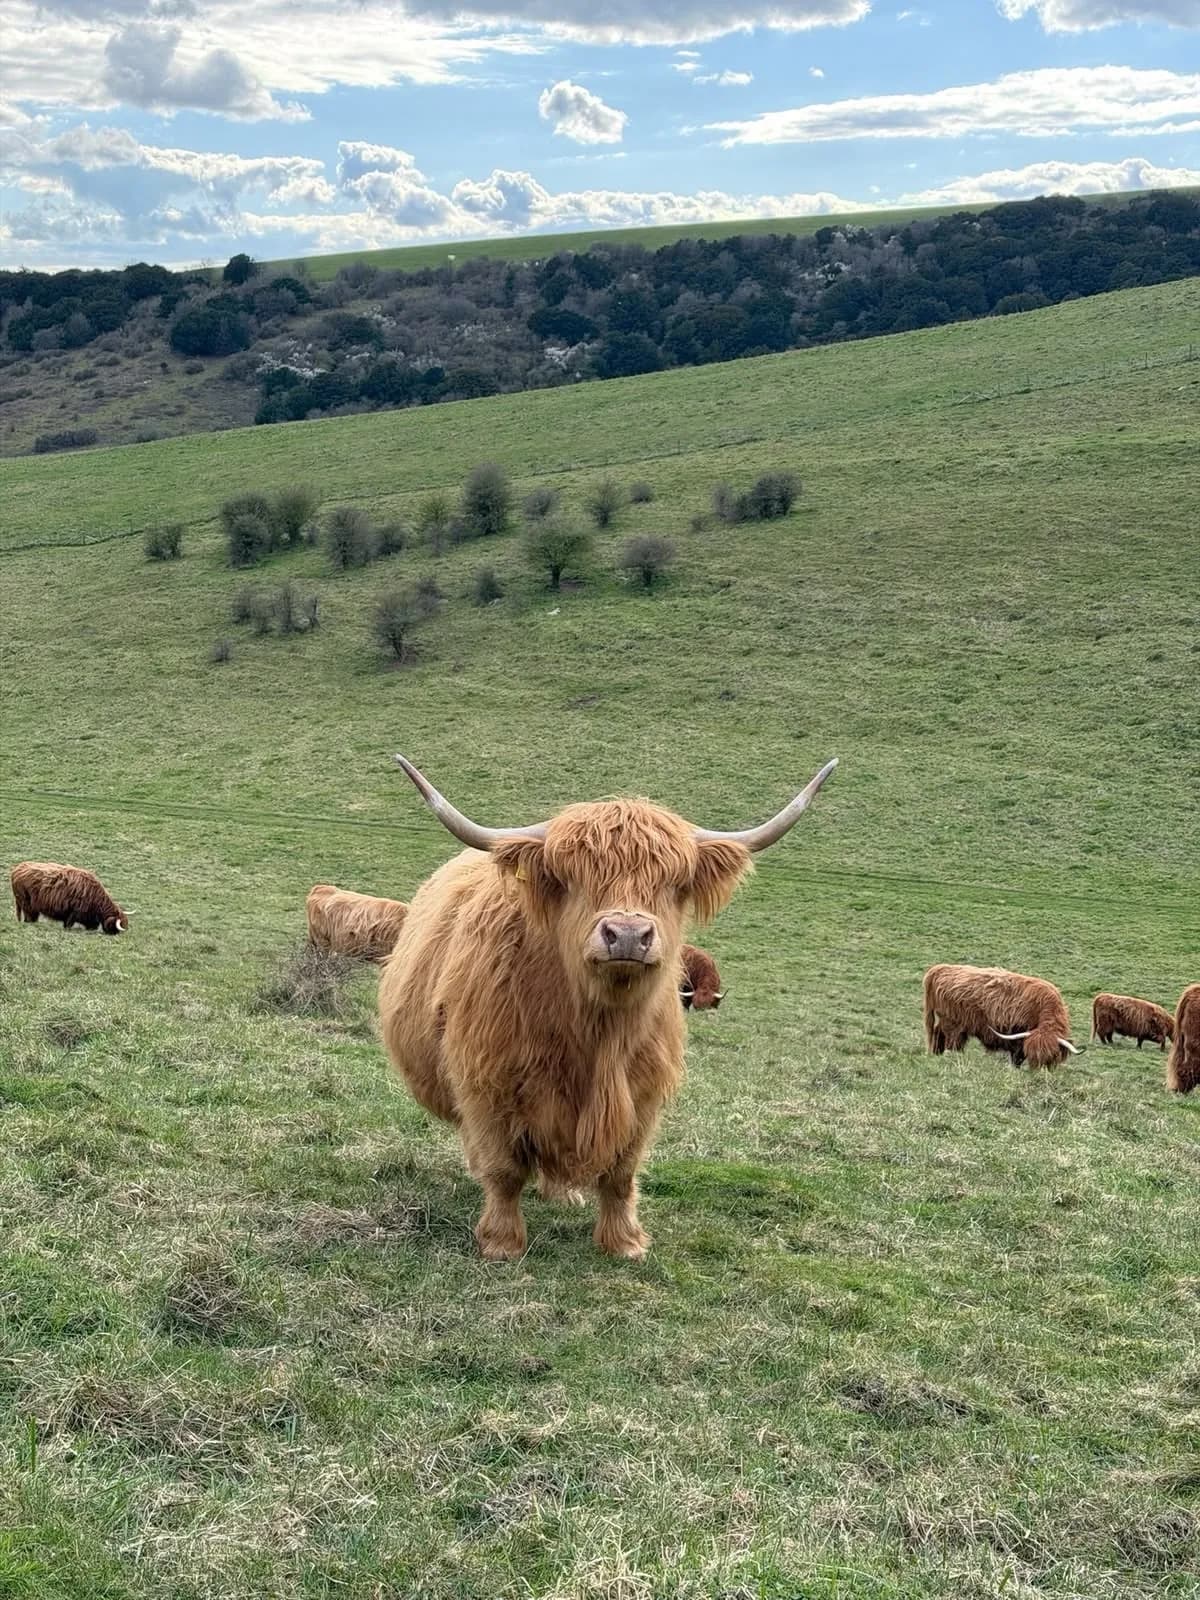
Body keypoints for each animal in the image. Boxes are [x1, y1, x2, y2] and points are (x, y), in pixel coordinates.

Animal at [379, 753, 837, 1260]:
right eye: (572, 879)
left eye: (675, 883)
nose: (628, 934)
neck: (597, 1035)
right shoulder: (487, 1083)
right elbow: (504, 1170)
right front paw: (501, 1242)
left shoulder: (642, 1095)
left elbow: (621, 1173)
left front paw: (625, 1242)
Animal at [923, 963, 1081, 1068]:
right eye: (1033, 1058)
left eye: (1049, 1058)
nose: (1036, 1074)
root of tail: (941, 968)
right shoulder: (1018, 1039)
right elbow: (1017, 1058)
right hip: (953, 1024)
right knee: (951, 1041)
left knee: (938, 1032)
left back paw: (936, 1054)